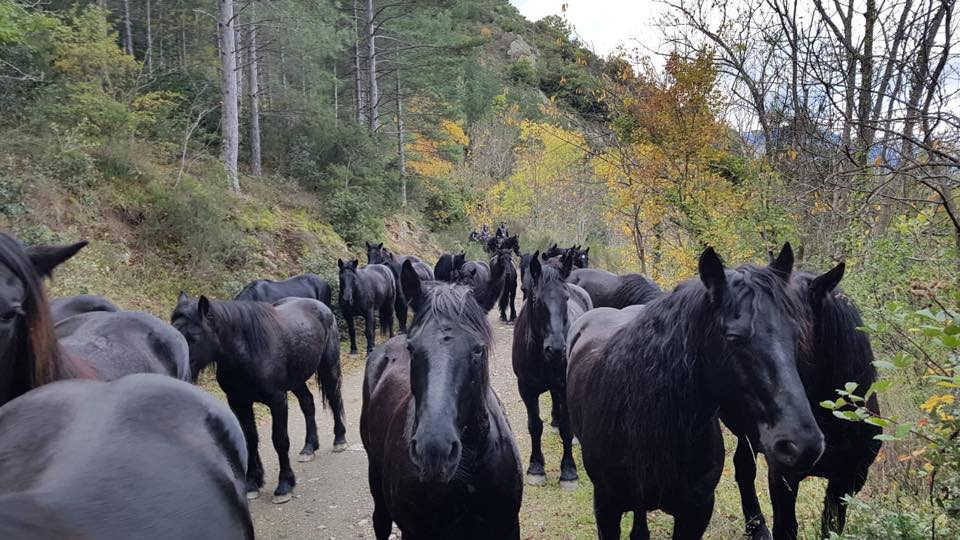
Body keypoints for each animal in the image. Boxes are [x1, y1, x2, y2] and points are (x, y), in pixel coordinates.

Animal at [172, 294, 344, 504]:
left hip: (328, 367)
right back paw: (309, 447)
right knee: (308, 403)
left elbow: (280, 440)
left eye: (192, 337)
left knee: (334, 399)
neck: (248, 351)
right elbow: (250, 439)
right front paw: (253, 483)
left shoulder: (277, 401)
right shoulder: (239, 403)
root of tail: (320, 306)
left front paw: (284, 485)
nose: (177, 373)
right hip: (296, 381)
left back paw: (339, 439)